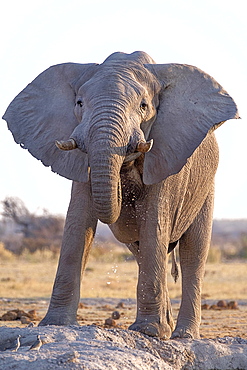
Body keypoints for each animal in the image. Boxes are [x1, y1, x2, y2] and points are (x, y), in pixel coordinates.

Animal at [2, 51, 239, 338]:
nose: (120, 187)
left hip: (206, 187)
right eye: (79, 103)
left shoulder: (167, 156)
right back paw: (167, 327)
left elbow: (154, 223)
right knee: (141, 250)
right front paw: (55, 324)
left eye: (144, 106)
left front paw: (147, 332)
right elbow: (78, 222)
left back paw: (183, 334)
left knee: (192, 251)